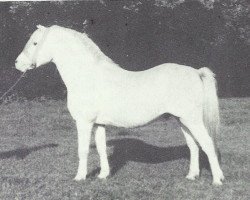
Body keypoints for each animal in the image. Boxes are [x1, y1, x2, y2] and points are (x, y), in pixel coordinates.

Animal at [15, 25, 225, 186]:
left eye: (35, 43)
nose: (17, 64)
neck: (87, 76)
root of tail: (196, 72)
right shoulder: (99, 124)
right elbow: (101, 148)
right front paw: (103, 175)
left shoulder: (84, 122)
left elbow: (83, 150)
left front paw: (80, 178)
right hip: (182, 120)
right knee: (193, 145)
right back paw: (192, 176)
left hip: (192, 119)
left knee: (207, 144)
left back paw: (217, 180)